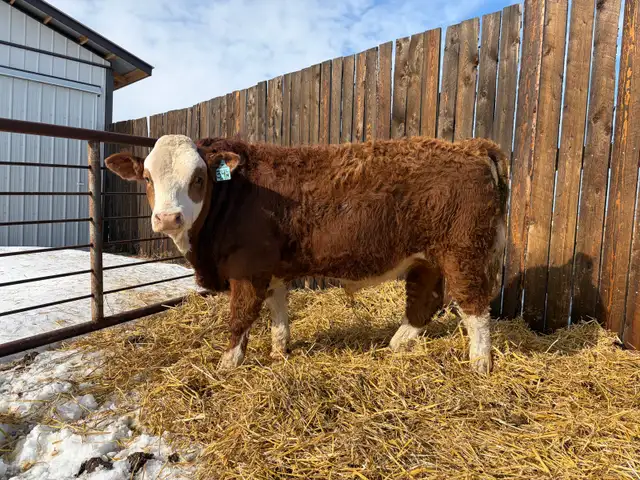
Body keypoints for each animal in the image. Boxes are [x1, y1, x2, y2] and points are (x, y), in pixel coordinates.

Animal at [105, 134, 508, 374]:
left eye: (198, 179)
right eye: (147, 178)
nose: (167, 217)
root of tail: (474, 146)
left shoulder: (246, 270)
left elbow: (240, 317)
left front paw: (227, 363)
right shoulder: (270, 269)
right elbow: (278, 311)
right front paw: (279, 351)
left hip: (464, 252)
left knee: (474, 306)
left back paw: (480, 363)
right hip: (426, 258)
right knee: (426, 301)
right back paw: (396, 345)